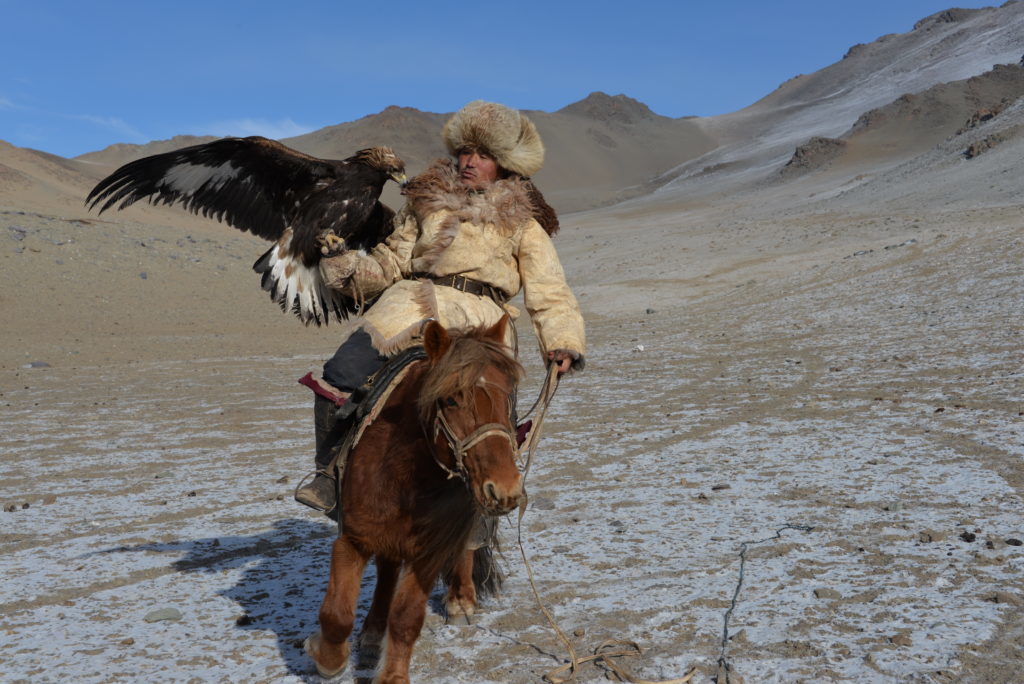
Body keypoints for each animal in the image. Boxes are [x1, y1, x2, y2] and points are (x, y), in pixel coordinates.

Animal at [305, 315, 524, 683]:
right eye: (450, 400)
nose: (504, 488)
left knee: (467, 546)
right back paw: (372, 633)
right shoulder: (353, 538)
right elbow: (337, 613)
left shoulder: (429, 552)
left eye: (508, 396)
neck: (404, 474)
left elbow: (406, 617)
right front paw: (327, 658)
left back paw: (460, 600)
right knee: (387, 571)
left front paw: (392, 676)